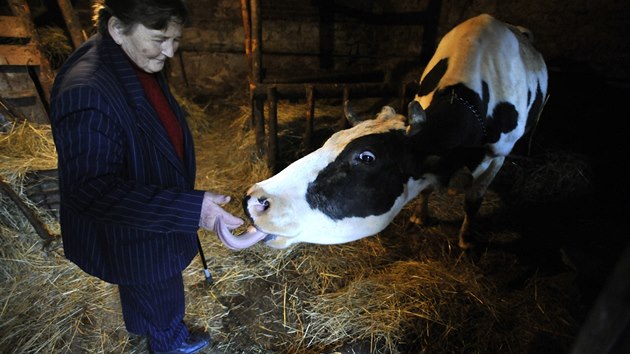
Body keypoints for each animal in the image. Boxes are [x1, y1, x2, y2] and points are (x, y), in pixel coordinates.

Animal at [220, 13, 552, 250]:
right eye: (328, 141)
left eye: (367, 157)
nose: (254, 199)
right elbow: (427, 188)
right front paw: (420, 215)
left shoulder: (498, 154)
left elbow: (474, 200)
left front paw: (467, 240)